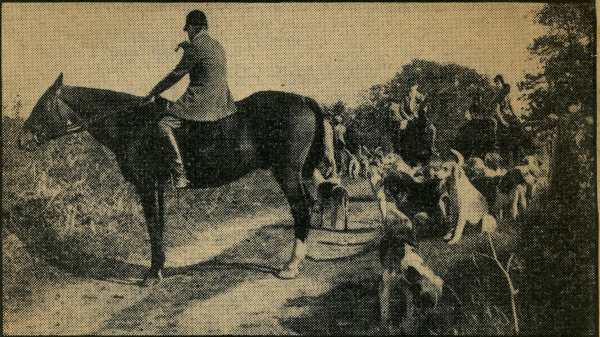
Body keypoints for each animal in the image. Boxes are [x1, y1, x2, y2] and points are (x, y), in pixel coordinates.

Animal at [19, 74, 328, 284]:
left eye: (43, 105)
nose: (22, 139)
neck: (132, 124)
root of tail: (303, 100)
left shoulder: (145, 185)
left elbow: (152, 225)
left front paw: (152, 273)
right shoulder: (157, 186)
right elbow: (160, 224)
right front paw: (160, 267)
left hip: (287, 173)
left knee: (300, 210)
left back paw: (291, 266)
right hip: (299, 173)